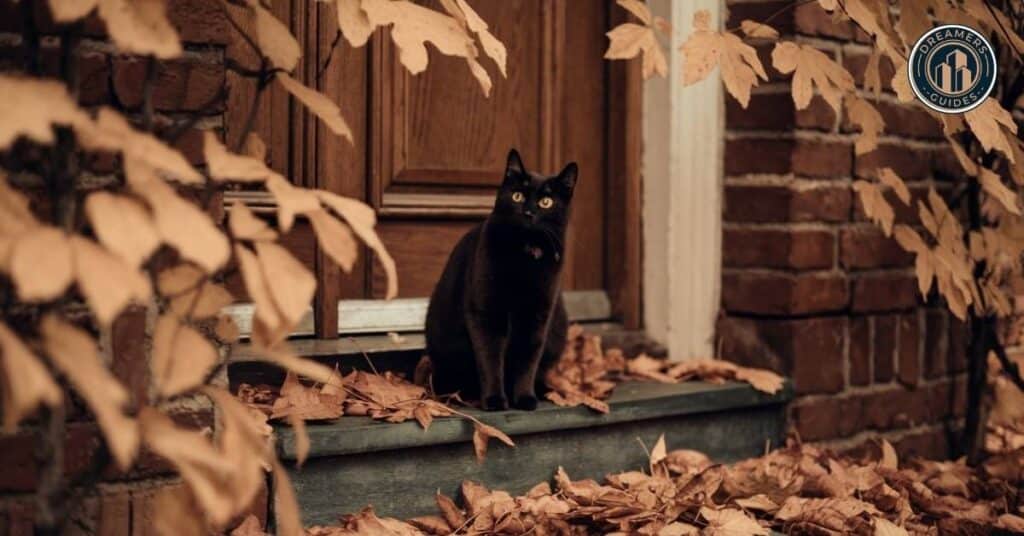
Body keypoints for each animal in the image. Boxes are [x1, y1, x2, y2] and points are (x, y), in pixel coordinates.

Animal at [421, 148, 577, 414]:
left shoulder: (537, 316)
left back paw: (543, 390)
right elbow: (490, 358)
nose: (528, 212)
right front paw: (494, 399)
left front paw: (524, 397)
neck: (523, 255)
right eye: (517, 196)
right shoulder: (485, 312)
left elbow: (527, 358)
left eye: (546, 202)